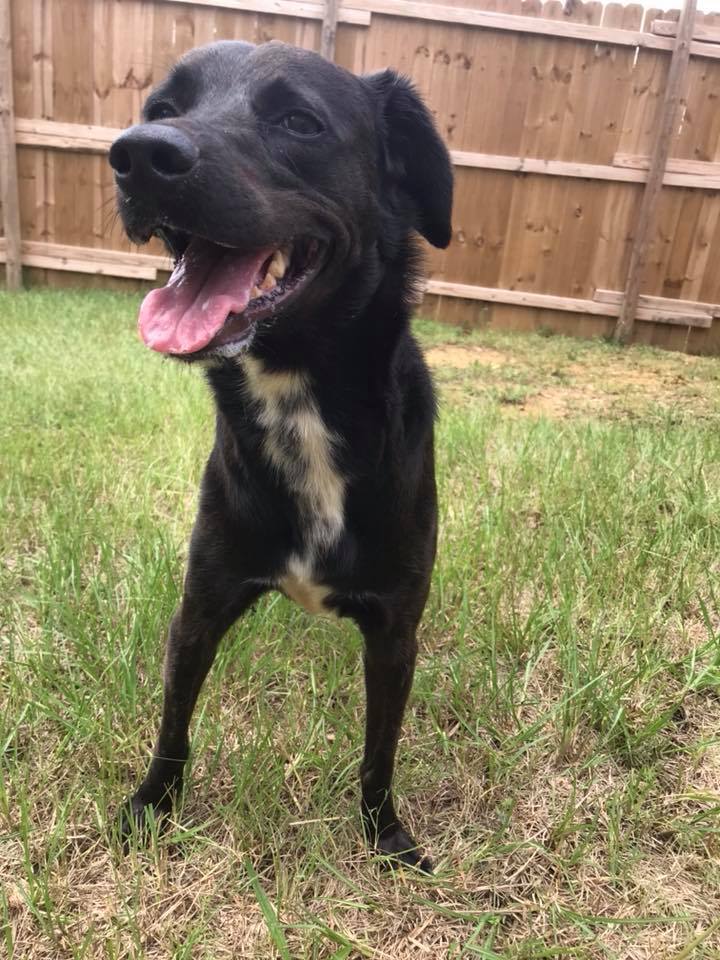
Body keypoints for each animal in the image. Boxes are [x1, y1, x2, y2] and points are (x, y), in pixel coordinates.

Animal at [109, 41, 452, 872]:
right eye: (163, 110)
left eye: (299, 121)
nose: (139, 156)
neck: (296, 399)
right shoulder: (201, 606)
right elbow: (174, 725)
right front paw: (153, 805)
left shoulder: (395, 633)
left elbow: (379, 752)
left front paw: (386, 835)